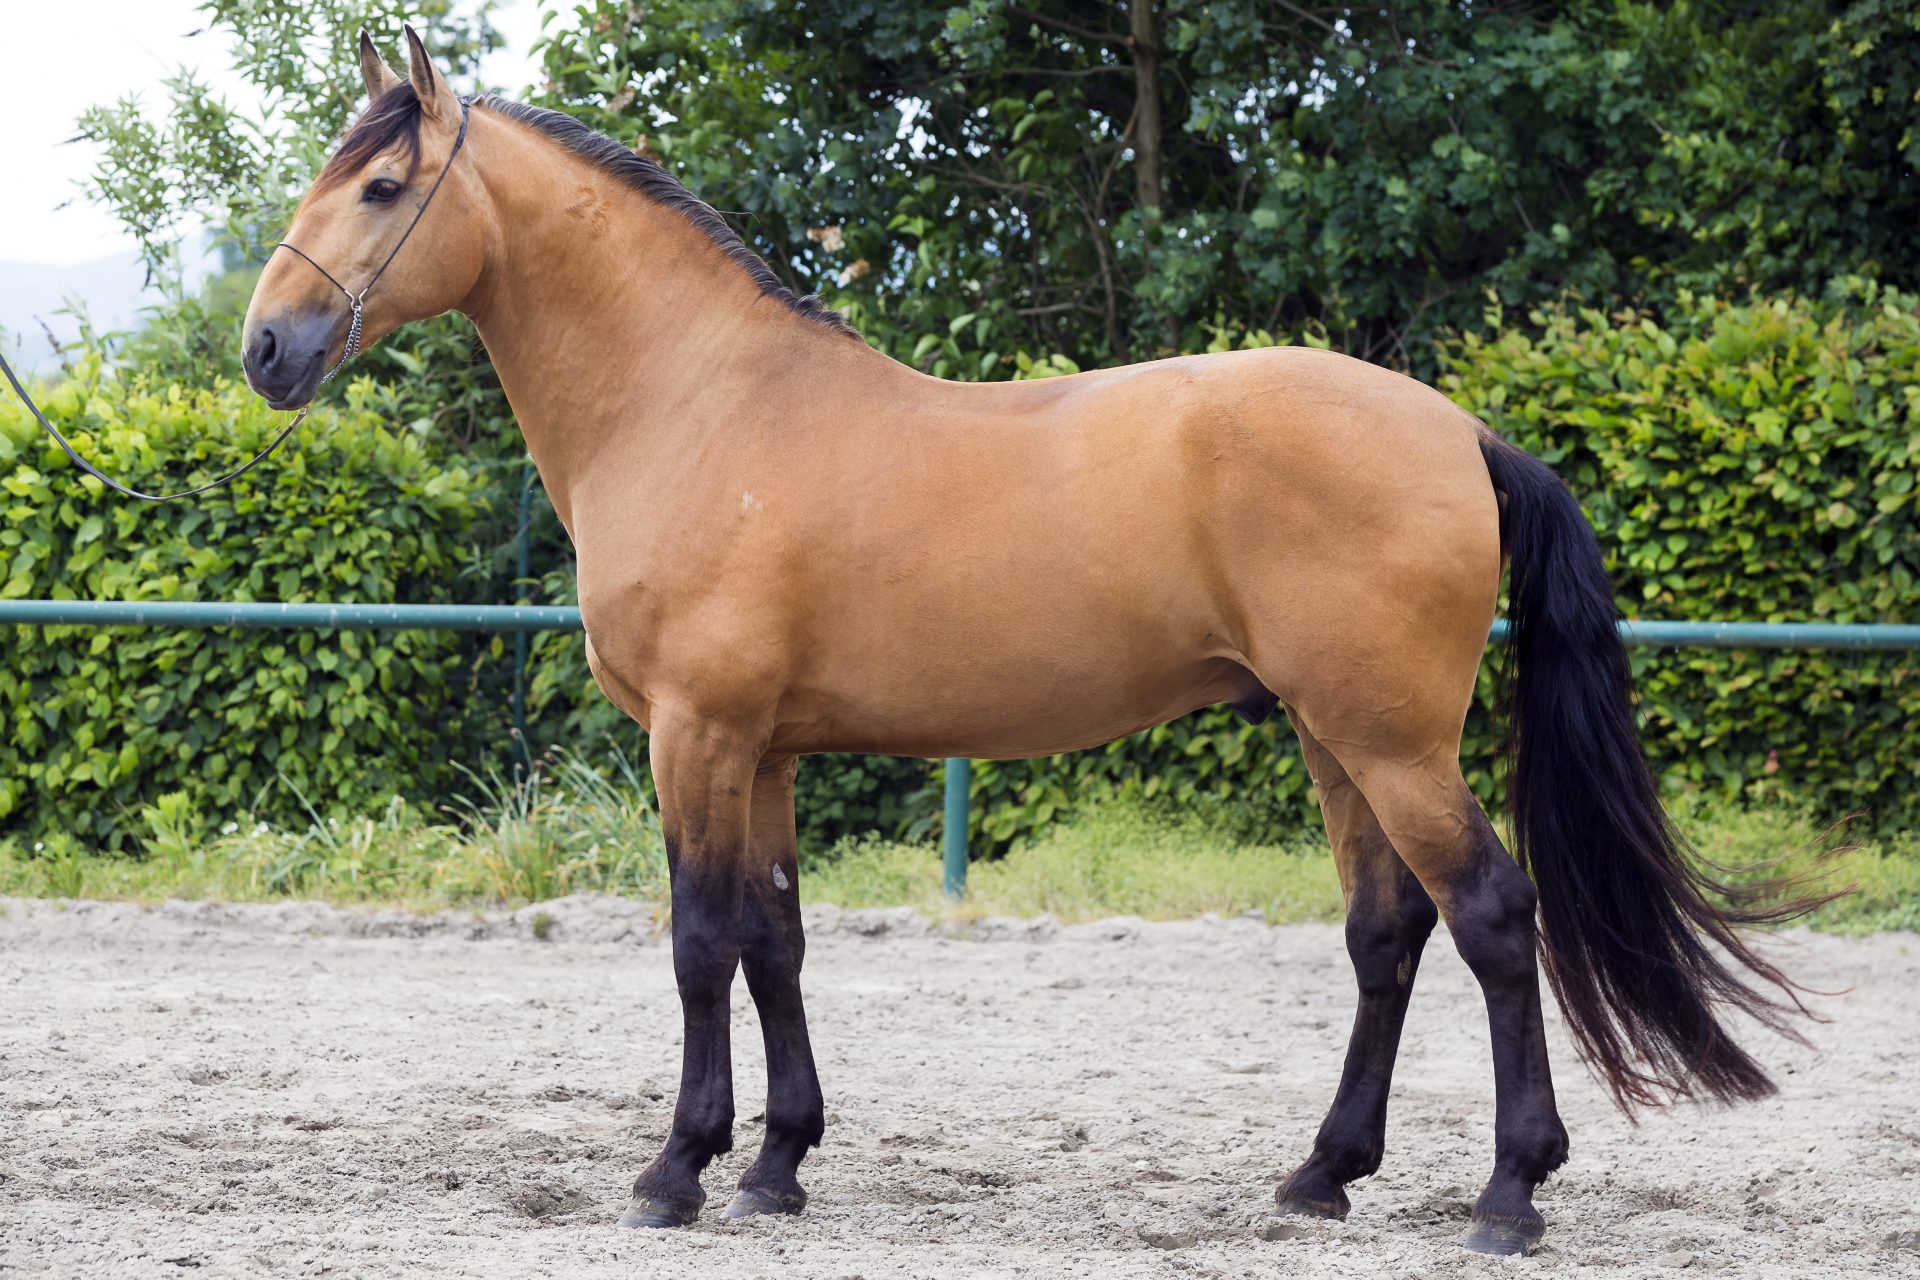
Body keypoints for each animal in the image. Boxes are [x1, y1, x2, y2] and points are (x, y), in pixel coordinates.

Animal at [240, 27, 1821, 1255]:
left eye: (382, 184)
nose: (265, 349)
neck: (699, 405)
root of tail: (1461, 431)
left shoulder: (696, 734)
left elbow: (696, 944)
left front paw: (675, 1170)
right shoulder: (767, 750)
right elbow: (774, 941)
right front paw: (778, 1165)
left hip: (1391, 741)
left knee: (1493, 917)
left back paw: (1507, 1194)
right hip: (1335, 737)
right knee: (1388, 931)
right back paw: (1321, 1175)